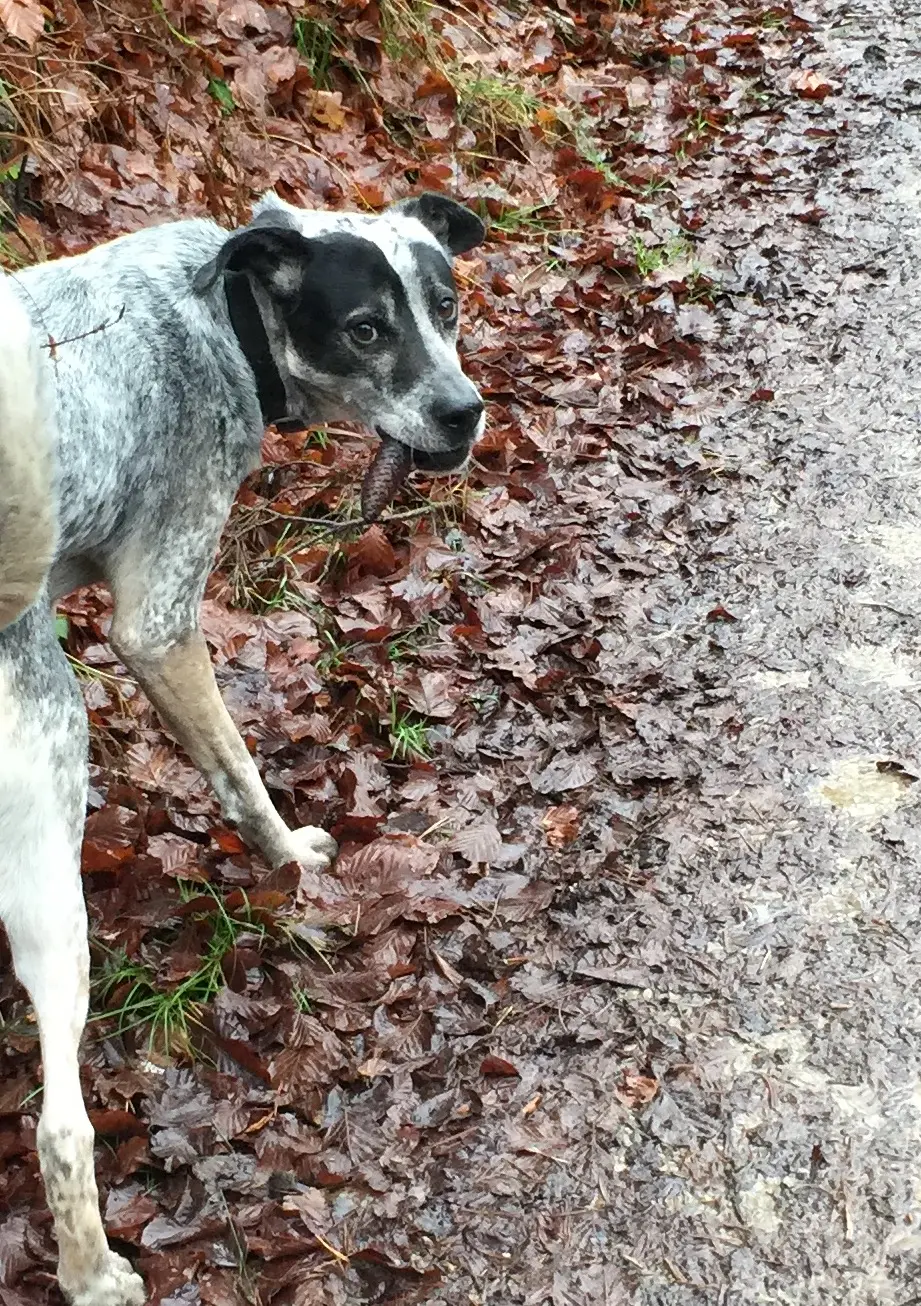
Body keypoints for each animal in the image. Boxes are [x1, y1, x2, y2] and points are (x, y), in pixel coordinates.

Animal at [0, 193, 485, 1306]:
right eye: (365, 329)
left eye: (445, 305)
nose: (464, 411)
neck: (224, 316)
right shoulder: (159, 626)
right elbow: (239, 775)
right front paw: (292, 864)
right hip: (52, 805)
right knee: (59, 1126)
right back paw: (92, 1271)